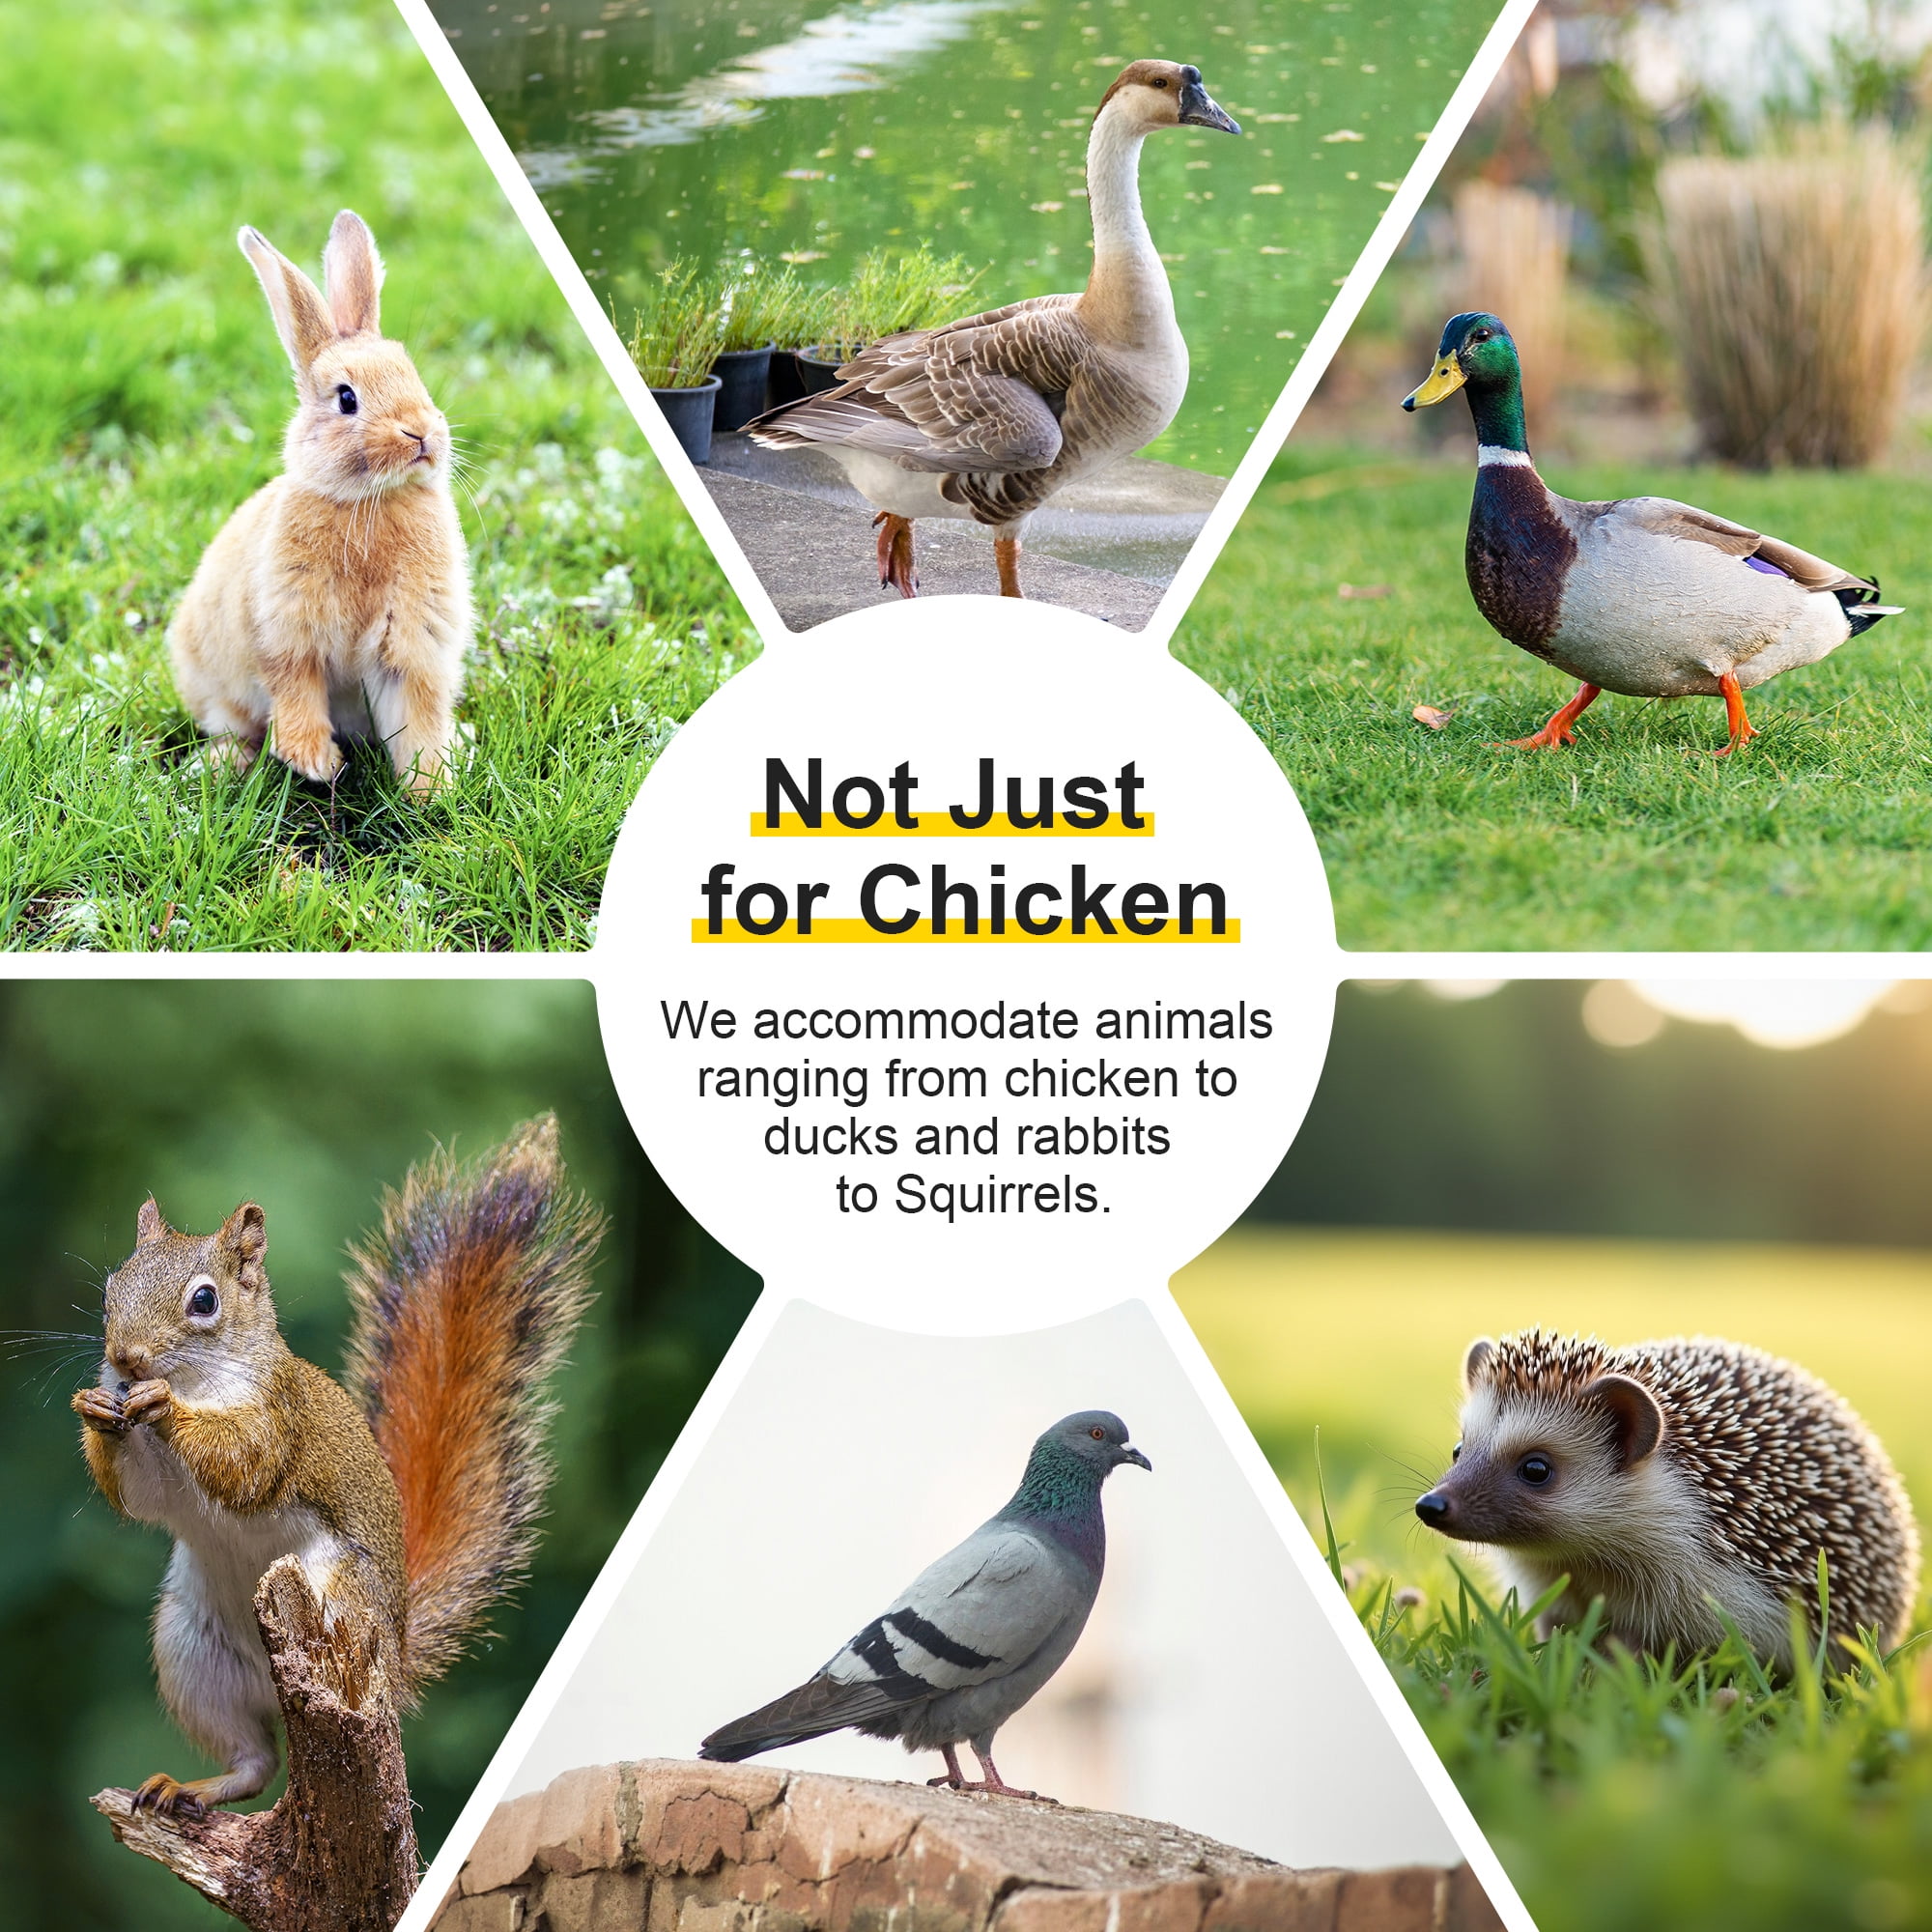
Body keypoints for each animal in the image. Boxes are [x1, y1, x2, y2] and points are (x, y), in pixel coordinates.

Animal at [168, 209, 471, 796]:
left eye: (412, 375)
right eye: (346, 398)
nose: (421, 432)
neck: (370, 500)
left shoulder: (411, 645)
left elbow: (417, 714)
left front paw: (431, 786)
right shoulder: (287, 632)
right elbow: (295, 693)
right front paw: (316, 764)